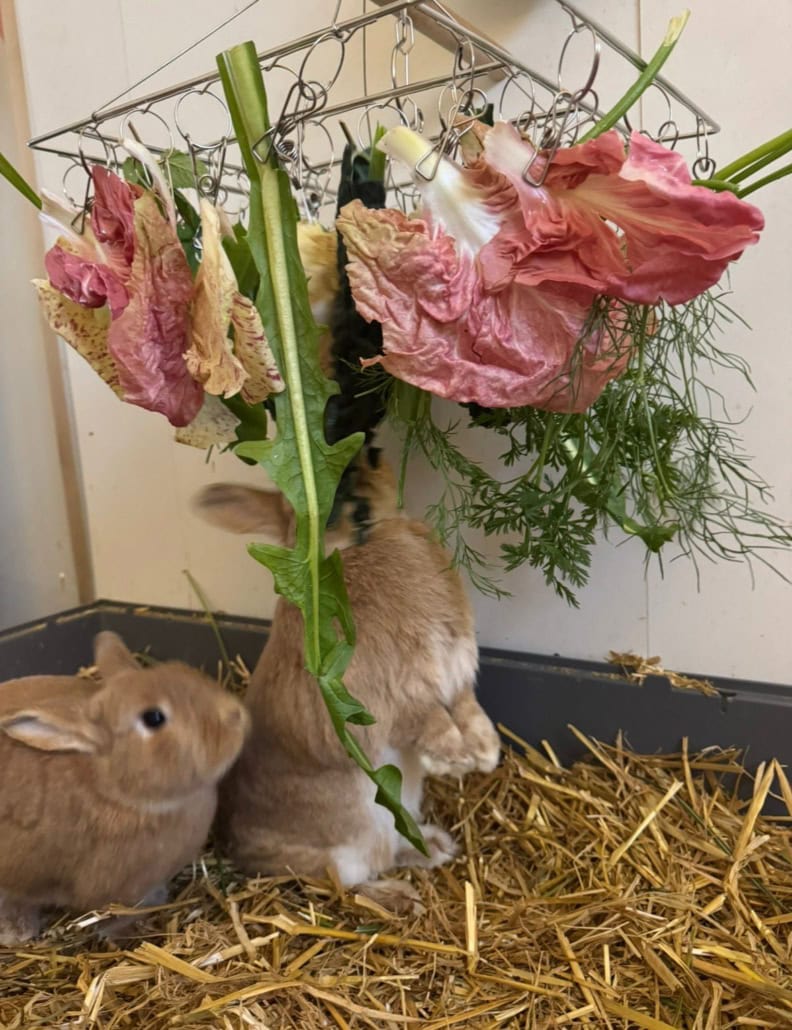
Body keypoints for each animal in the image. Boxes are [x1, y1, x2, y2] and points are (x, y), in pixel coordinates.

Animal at [194, 459, 500, 908]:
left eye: (369, 459)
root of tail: (242, 852)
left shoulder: (455, 674)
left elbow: (467, 707)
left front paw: (485, 752)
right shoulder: (389, 696)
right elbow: (426, 720)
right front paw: (455, 760)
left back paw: (435, 846)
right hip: (350, 845)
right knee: (343, 883)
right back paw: (400, 897)